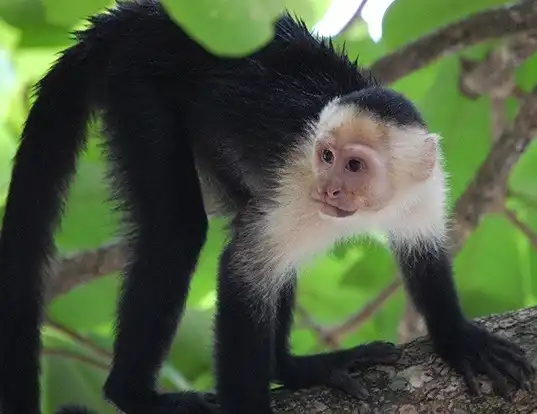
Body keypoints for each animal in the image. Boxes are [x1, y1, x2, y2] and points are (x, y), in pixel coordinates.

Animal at [0, 0, 532, 414]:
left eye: (354, 166)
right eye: (326, 156)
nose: (329, 190)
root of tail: (140, 14)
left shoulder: (425, 188)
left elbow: (424, 255)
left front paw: (458, 339)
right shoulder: (299, 183)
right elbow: (243, 271)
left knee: (245, 219)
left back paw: (294, 369)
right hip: (138, 80)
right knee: (178, 232)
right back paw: (134, 394)